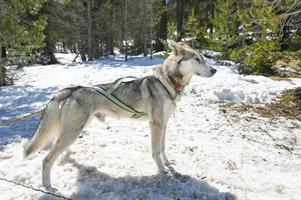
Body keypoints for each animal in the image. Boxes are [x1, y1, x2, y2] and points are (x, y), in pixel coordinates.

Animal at [23, 39, 216, 191]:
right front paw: (162, 170)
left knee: (57, 149)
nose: (214, 70)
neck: (167, 82)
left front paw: (167, 163)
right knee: (46, 159)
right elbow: (155, 152)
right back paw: (47, 186)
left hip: (72, 131)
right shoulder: (155, 124)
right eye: (197, 59)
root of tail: (72, 89)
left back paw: (66, 159)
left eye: (203, 58)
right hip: (73, 132)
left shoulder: (164, 124)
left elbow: (162, 148)